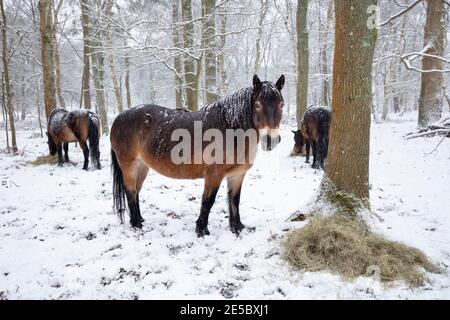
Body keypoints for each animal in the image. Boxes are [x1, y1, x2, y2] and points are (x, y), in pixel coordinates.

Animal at [110, 74, 284, 236]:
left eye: (281, 105)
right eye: (258, 105)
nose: (272, 140)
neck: (229, 129)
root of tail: (118, 118)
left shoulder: (237, 175)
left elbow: (235, 200)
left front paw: (237, 228)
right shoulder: (214, 174)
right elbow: (208, 201)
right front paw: (202, 230)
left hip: (142, 166)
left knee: (136, 191)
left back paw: (140, 219)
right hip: (129, 165)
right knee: (130, 191)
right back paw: (136, 225)